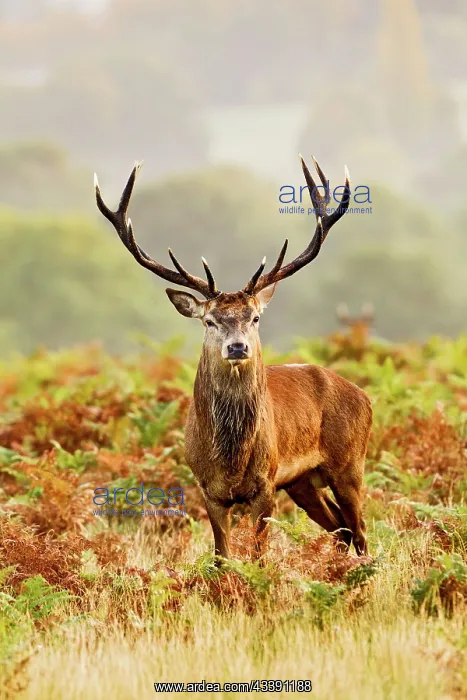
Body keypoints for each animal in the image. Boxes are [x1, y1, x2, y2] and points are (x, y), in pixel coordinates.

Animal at [94, 155, 372, 561]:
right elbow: (222, 556)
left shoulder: (266, 485)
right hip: (303, 482)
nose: (238, 347)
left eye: (254, 317)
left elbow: (257, 557)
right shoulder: (208, 490)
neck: (231, 459)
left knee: (361, 530)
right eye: (209, 320)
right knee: (341, 528)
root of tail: (365, 396)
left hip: (349, 462)